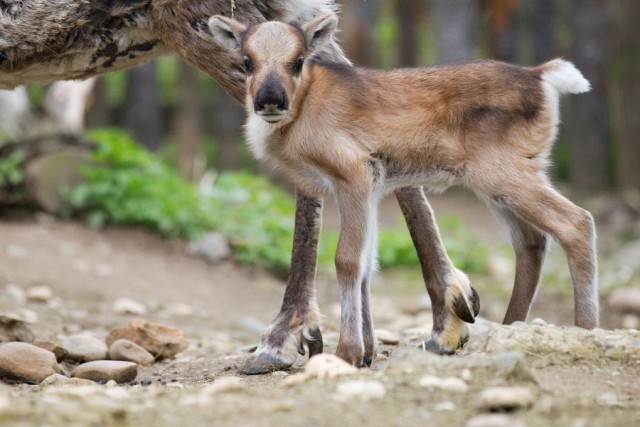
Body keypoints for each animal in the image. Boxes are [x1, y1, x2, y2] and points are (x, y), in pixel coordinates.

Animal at [208, 13, 596, 368]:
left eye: (298, 60)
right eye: (247, 60)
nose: (270, 99)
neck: (301, 113)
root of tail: (542, 76)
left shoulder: (353, 174)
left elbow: (347, 260)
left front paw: (347, 353)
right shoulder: (372, 187)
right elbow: (367, 264)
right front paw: (366, 352)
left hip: (503, 173)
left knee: (576, 222)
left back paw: (586, 332)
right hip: (505, 179)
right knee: (532, 241)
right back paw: (510, 328)